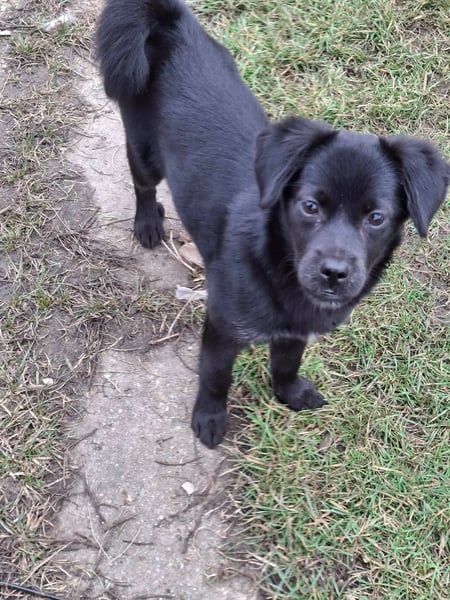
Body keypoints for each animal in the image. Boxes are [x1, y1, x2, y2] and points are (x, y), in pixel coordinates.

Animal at [96, 0, 449, 448]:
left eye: (376, 218)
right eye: (310, 206)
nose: (334, 273)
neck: (276, 261)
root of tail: (170, 24)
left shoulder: (293, 333)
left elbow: (286, 363)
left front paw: (290, 394)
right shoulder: (223, 327)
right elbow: (215, 377)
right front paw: (209, 418)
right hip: (142, 149)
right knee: (143, 186)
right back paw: (146, 224)